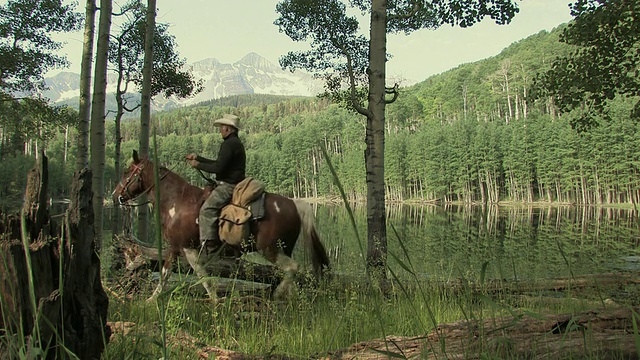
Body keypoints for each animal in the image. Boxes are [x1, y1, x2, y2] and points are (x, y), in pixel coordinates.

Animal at [111, 150, 330, 300]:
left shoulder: (178, 246)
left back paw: (277, 294)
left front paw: (151, 300)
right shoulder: (188, 249)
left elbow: (167, 274)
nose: (115, 196)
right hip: (284, 248)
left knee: (292, 268)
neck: (176, 201)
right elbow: (202, 275)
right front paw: (216, 299)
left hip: (270, 249)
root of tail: (295, 203)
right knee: (291, 273)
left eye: (127, 172)